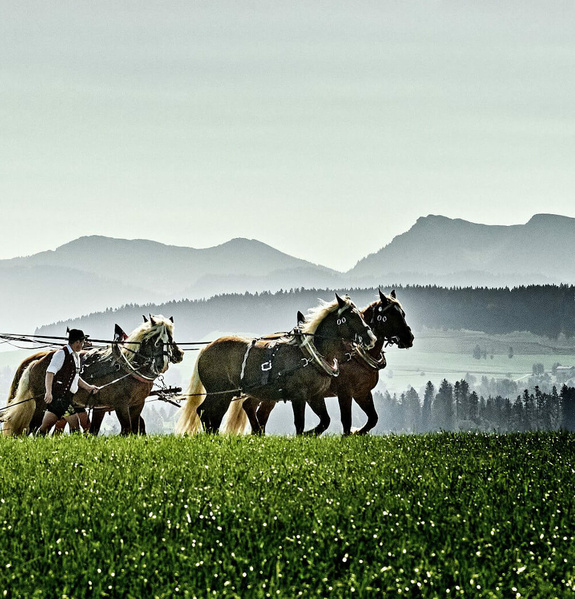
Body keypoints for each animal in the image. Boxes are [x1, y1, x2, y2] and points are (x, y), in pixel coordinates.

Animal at [0, 314, 184, 436]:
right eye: (155, 339)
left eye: (170, 338)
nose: (162, 364)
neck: (129, 367)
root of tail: (35, 363)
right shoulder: (120, 405)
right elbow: (126, 430)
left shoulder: (137, 404)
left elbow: (135, 429)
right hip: (42, 403)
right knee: (34, 427)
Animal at [178, 294, 380, 436]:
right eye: (351, 317)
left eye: (361, 315)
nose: (371, 339)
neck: (309, 353)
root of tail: (206, 348)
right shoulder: (299, 396)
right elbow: (300, 423)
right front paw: (303, 436)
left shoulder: (315, 396)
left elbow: (325, 421)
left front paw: (310, 434)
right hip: (218, 391)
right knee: (205, 412)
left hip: (226, 393)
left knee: (213, 414)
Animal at [240, 290, 414, 436]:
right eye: (390, 315)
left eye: (403, 313)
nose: (409, 338)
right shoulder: (344, 392)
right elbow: (345, 420)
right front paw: (345, 435)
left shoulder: (362, 392)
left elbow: (373, 419)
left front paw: (357, 432)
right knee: (252, 407)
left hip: (269, 393)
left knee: (257, 410)